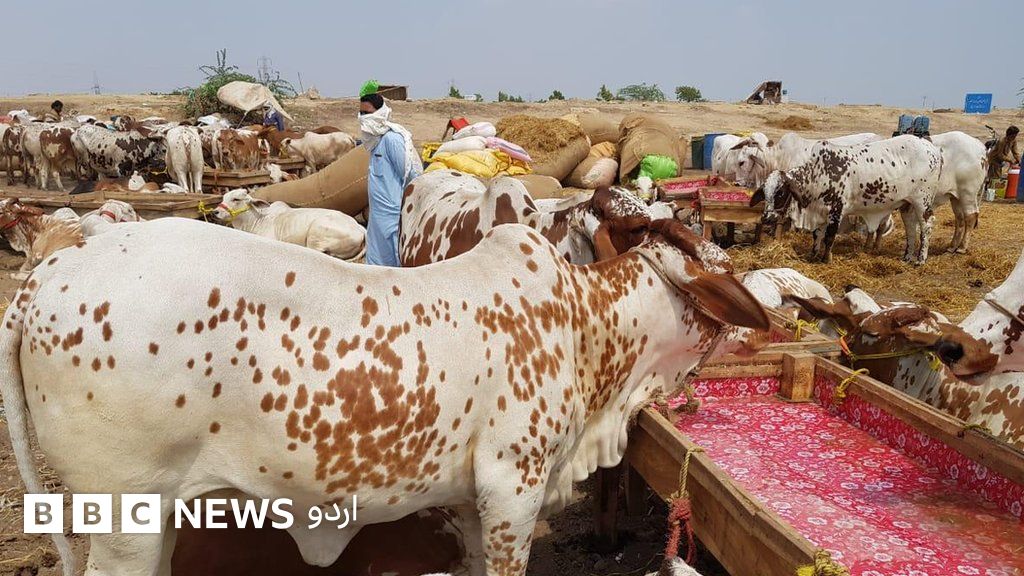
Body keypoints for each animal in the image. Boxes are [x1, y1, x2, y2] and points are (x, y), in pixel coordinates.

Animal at [0, 216, 769, 576]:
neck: (585, 326)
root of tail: (48, 275)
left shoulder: (470, 504)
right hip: (123, 518)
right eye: (719, 264)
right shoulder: (513, 487)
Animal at [751, 135, 943, 265]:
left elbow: (829, 237)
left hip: (922, 202)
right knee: (910, 227)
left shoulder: (837, 211)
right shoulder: (821, 211)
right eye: (765, 192)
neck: (819, 174)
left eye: (780, 193)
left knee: (926, 226)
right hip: (907, 204)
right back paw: (907, 256)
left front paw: (826, 259)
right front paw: (813, 254)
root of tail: (932, 149)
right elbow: (817, 235)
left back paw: (920, 259)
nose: (766, 218)